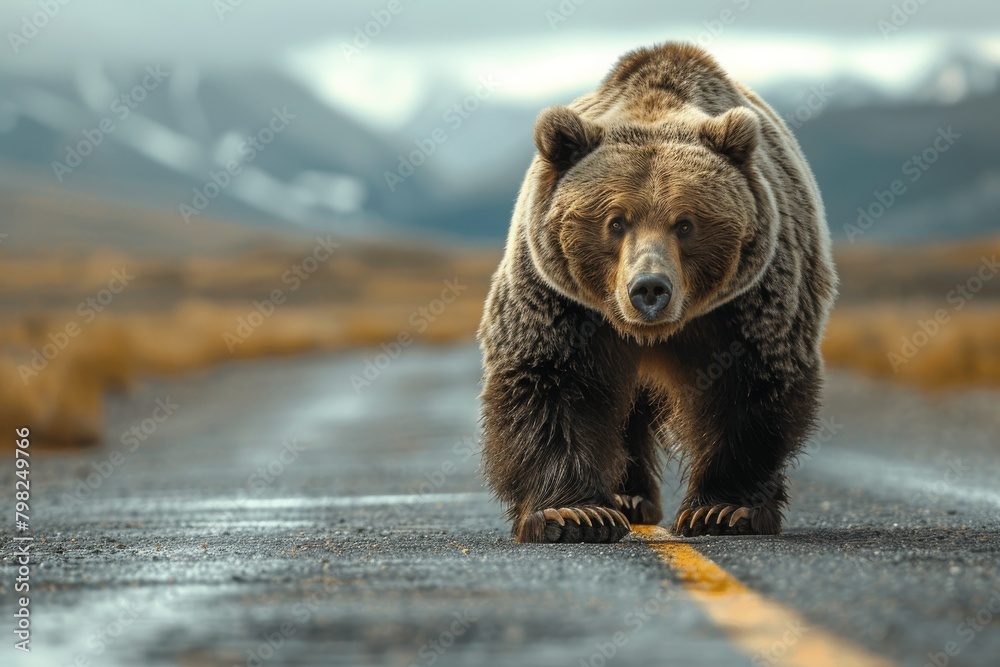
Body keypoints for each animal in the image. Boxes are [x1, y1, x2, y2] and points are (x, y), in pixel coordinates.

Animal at [478, 42, 837, 543]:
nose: (649, 288)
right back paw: (627, 498)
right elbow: (550, 381)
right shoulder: (562, 303)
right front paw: (574, 514)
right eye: (615, 221)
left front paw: (723, 510)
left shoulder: (747, 304)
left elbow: (748, 388)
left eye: (685, 224)